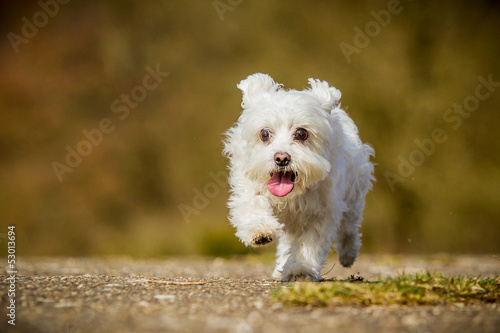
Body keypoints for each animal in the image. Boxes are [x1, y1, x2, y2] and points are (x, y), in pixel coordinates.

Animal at [225, 73, 374, 280]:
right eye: (265, 133)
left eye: (301, 133)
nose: (281, 158)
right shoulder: (247, 185)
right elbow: (253, 204)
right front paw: (260, 231)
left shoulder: (323, 210)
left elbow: (309, 243)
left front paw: (300, 269)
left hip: (353, 197)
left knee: (349, 228)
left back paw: (348, 254)